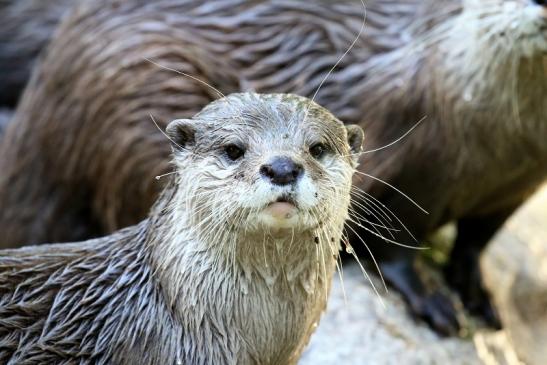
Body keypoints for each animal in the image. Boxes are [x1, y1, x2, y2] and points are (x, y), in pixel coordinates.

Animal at [0, 0, 544, 332]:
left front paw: (478, 292)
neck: (498, 151)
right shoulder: (409, 155)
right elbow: (397, 239)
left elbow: (477, 241)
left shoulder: (514, 191)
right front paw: (431, 297)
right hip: (127, 104)